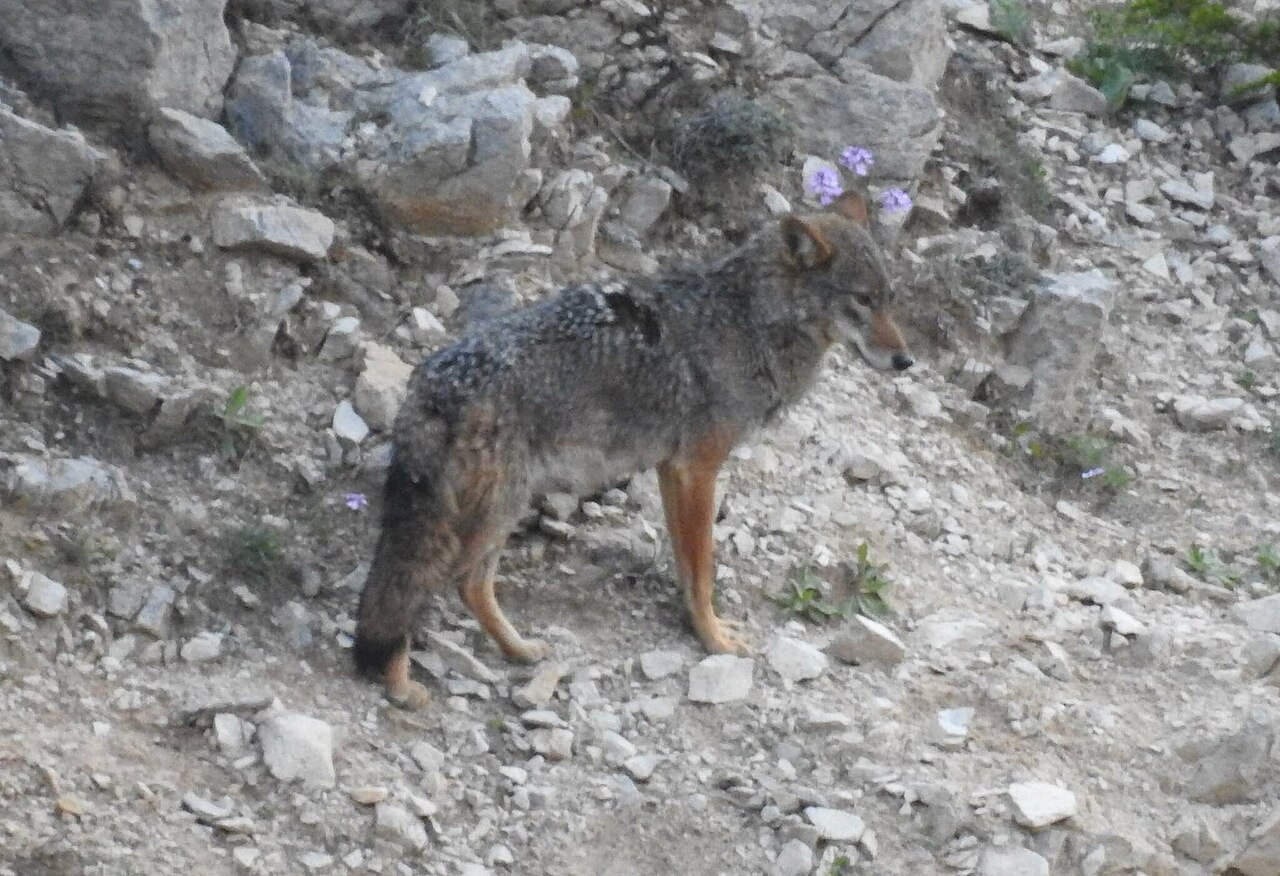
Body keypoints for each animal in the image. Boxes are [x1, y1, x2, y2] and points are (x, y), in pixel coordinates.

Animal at [353, 190, 913, 707]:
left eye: (889, 298)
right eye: (862, 300)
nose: (906, 361)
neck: (747, 322)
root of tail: (432, 386)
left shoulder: (672, 470)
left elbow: (687, 567)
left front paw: (698, 627)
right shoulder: (699, 468)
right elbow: (704, 571)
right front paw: (715, 640)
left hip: (499, 512)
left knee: (467, 585)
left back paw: (518, 649)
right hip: (489, 517)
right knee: (422, 590)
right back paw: (399, 684)